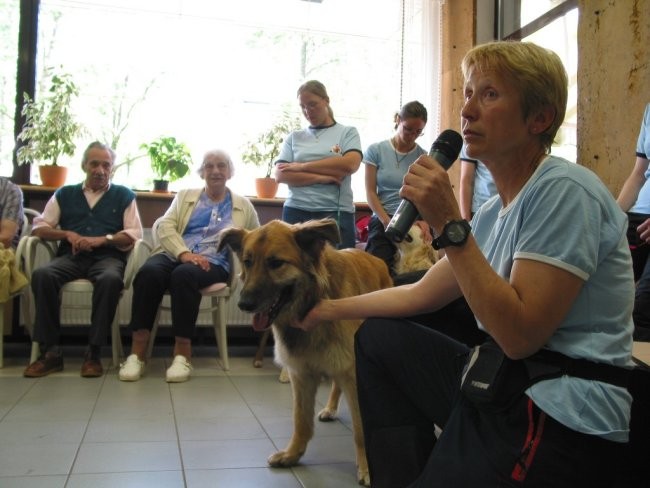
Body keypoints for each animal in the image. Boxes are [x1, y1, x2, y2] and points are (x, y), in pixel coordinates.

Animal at [218, 219, 390, 486]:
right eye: (247, 261)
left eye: (276, 263)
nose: (244, 304)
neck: (312, 299)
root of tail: (376, 259)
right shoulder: (301, 374)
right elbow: (300, 421)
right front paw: (292, 455)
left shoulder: (353, 374)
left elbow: (361, 429)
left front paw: (368, 468)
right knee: (335, 386)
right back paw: (330, 409)